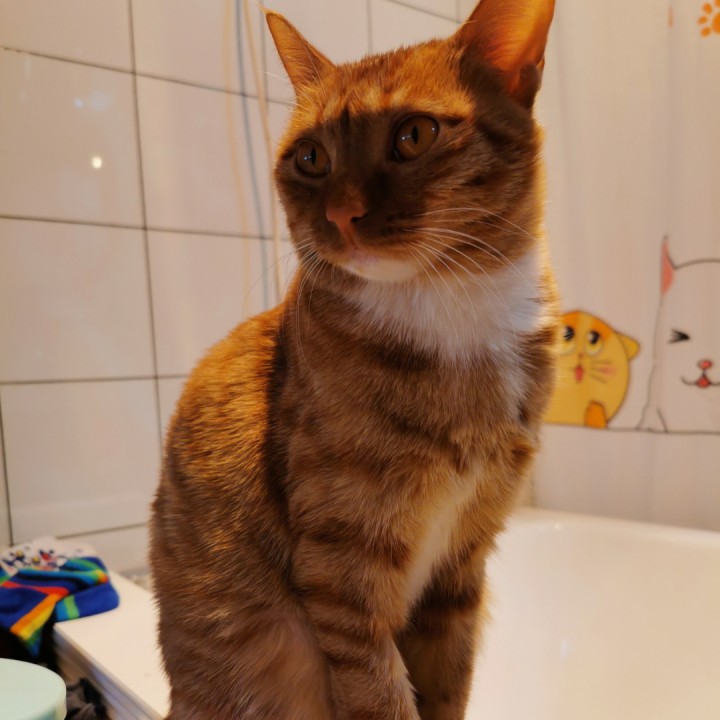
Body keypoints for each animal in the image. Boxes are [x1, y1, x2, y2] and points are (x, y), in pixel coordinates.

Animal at [150, 1, 558, 718]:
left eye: (414, 135)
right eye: (311, 157)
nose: (341, 214)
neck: (455, 313)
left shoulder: (461, 567)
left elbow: (446, 685)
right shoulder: (342, 577)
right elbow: (380, 692)